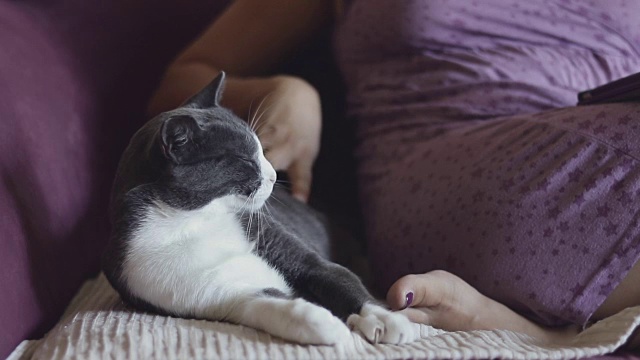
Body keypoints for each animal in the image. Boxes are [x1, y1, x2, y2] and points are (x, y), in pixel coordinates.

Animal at [102, 71, 418, 344]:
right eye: (244, 159)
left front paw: (383, 318)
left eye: (261, 150)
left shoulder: (273, 237)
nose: (275, 176)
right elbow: (262, 302)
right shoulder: (196, 289)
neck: (191, 221)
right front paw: (321, 322)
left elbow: (336, 275)